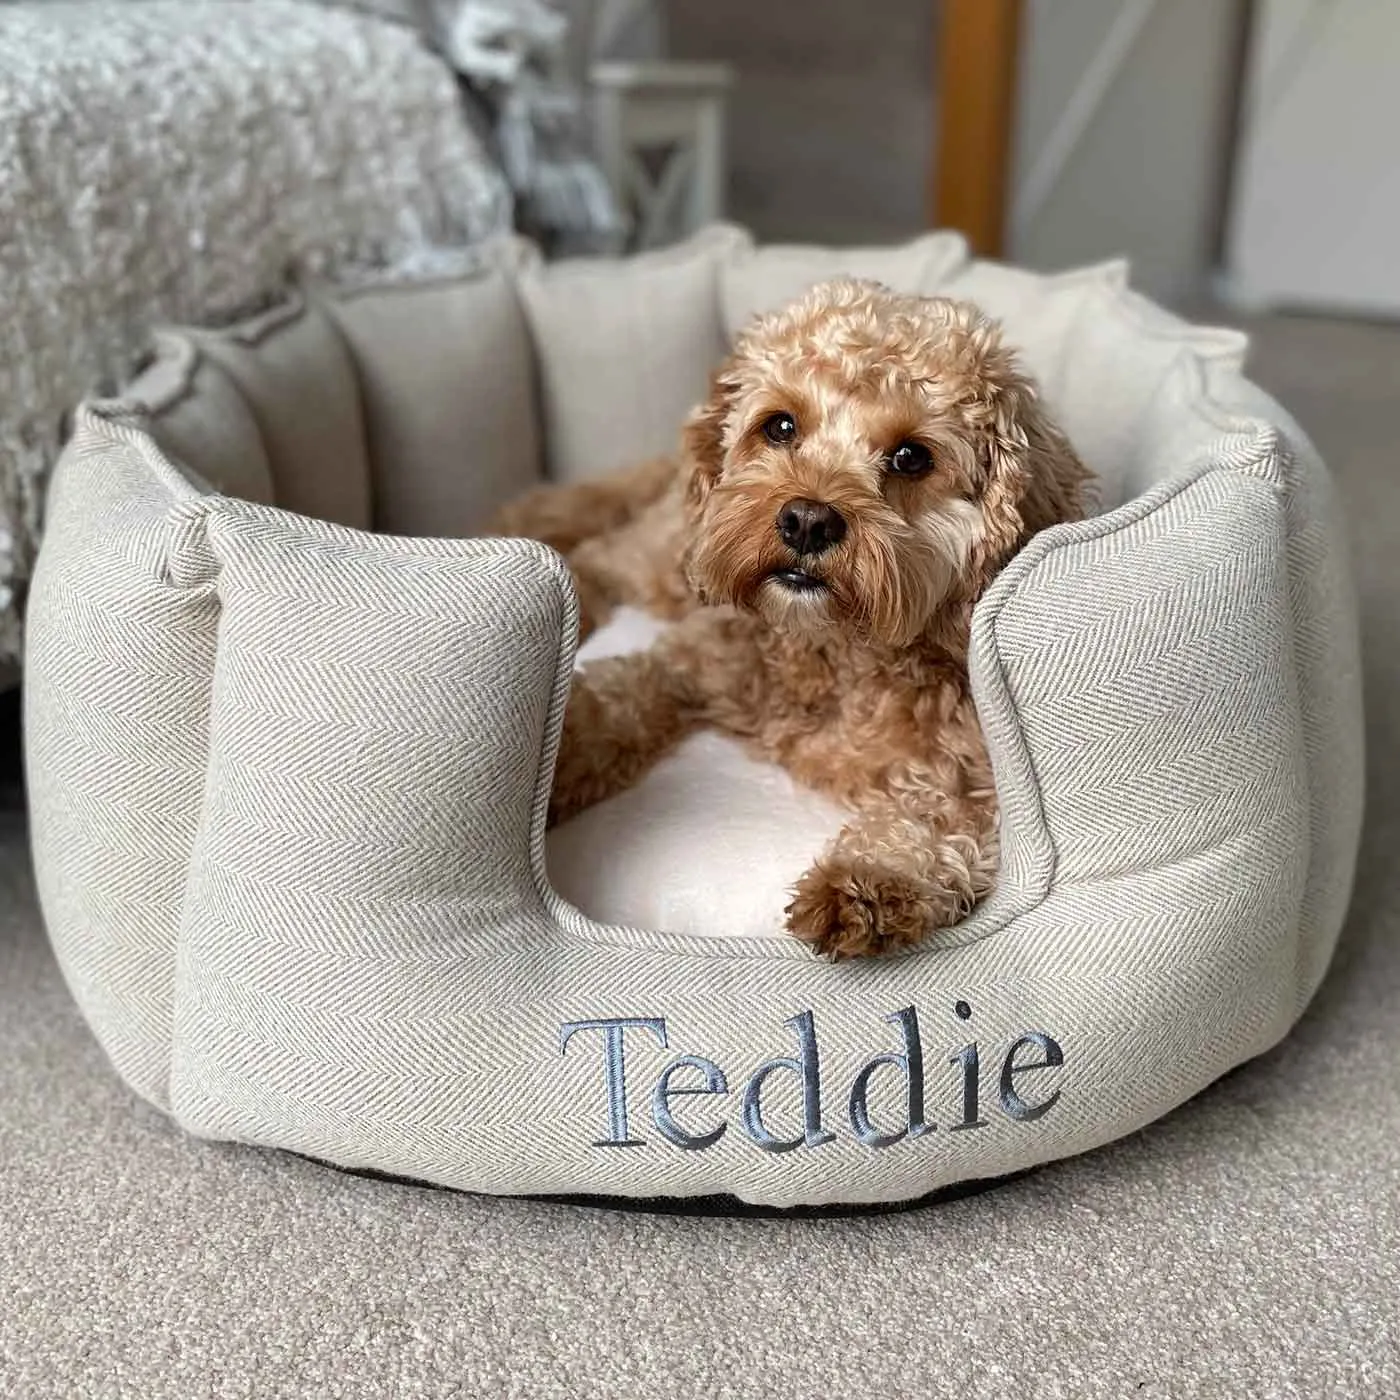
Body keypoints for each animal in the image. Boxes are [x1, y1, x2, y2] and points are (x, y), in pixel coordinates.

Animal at [492, 278, 1092, 957]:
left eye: (911, 458)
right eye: (780, 426)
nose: (807, 520)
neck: (836, 648)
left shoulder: (977, 774)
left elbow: (943, 821)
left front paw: (873, 874)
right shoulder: (688, 660)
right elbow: (611, 703)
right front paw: (554, 762)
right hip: (673, 561)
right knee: (598, 554)